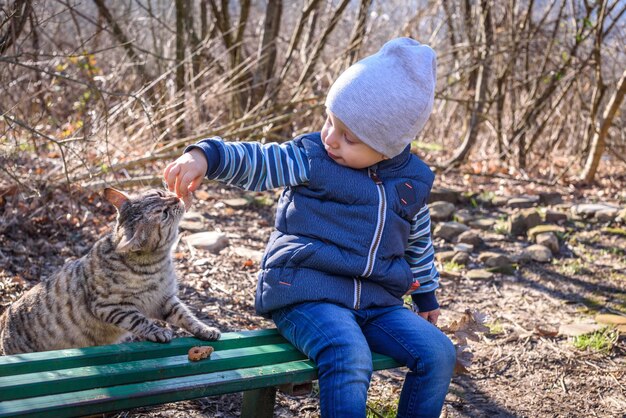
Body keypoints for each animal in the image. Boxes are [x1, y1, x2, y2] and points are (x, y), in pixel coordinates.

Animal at [0, 188, 219, 354]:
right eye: (164, 213)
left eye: (161, 193)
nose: (176, 197)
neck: (158, 263)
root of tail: (5, 315)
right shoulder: (111, 306)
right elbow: (139, 320)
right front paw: (157, 331)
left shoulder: (165, 299)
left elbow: (186, 316)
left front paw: (204, 329)